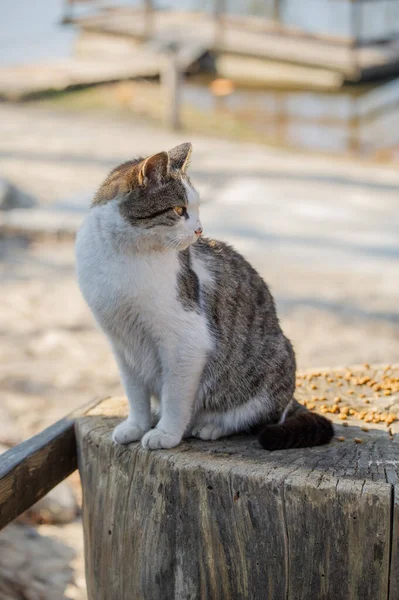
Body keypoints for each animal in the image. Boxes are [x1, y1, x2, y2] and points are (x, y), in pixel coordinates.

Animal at [75, 141, 334, 450]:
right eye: (179, 209)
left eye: (197, 209)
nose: (199, 230)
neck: (123, 255)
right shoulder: (123, 344)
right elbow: (135, 394)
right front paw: (136, 426)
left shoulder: (186, 341)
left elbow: (175, 396)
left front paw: (166, 433)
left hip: (272, 365)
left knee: (254, 417)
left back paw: (210, 426)